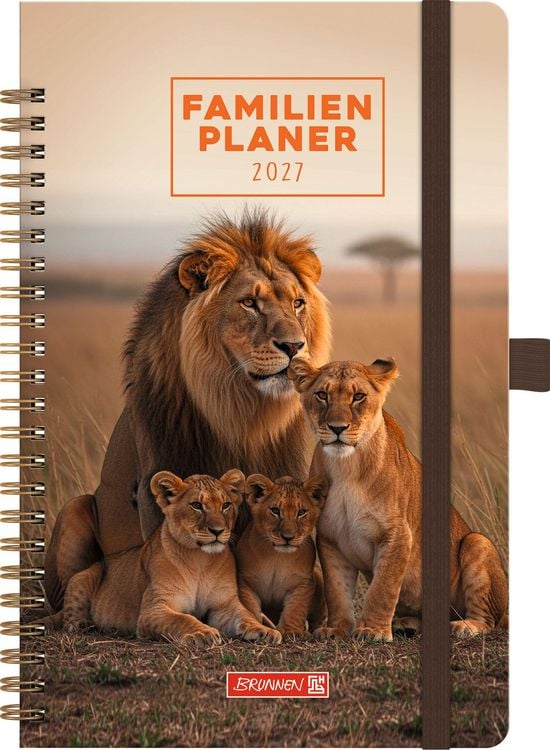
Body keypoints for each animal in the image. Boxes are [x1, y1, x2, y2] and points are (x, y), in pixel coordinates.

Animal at [45, 209, 331, 611]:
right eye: (249, 303)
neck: (240, 411)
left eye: (298, 303)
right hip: (74, 508)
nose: (294, 346)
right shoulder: (159, 484)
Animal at [46, 470, 281, 645]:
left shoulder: (224, 605)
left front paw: (264, 630)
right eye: (197, 505)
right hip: (83, 576)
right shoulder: (153, 609)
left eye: (226, 505)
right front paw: (203, 633)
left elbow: (245, 616)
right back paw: (84, 624)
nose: (218, 531)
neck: (201, 561)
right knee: (69, 616)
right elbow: (182, 619)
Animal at [235, 474, 328, 636]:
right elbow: (250, 608)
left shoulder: (302, 584)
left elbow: (295, 609)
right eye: (275, 510)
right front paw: (257, 627)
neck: (277, 557)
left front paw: (291, 631)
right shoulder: (246, 583)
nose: (287, 537)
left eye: (301, 512)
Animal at [289, 357, 508, 641]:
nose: (337, 428)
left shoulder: (398, 535)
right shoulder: (331, 539)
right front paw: (336, 629)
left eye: (358, 396)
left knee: (489, 619)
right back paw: (407, 624)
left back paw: (464, 626)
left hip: (477, 542)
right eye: (322, 395)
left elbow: (382, 588)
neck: (346, 467)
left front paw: (372, 630)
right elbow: (337, 591)